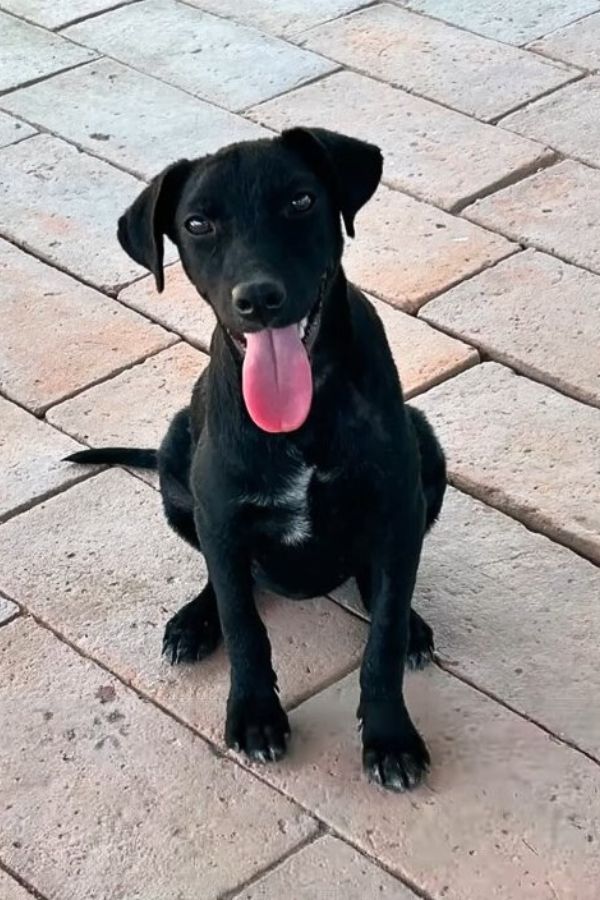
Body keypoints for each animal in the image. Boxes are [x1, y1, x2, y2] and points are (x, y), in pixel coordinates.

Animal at [69, 130, 446, 792]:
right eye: (197, 223)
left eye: (300, 201)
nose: (260, 298)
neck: (301, 418)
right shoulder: (220, 516)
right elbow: (244, 624)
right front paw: (253, 714)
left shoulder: (398, 508)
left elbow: (382, 639)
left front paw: (390, 736)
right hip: (177, 459)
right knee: (226, 579)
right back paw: (193, 622)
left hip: (428, 450)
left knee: (379, 588)